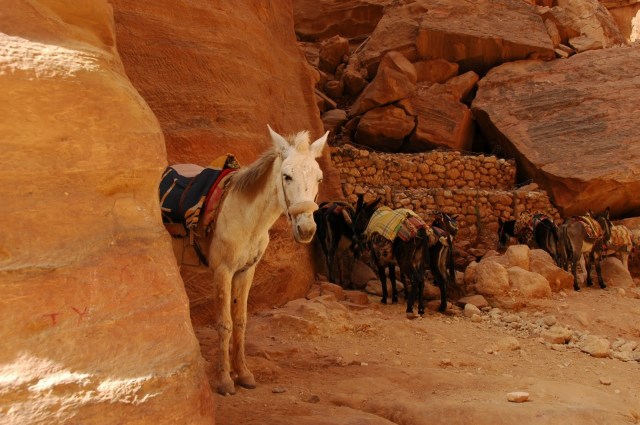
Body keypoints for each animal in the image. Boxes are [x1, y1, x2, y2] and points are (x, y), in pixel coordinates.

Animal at [192, 125, 327, 395]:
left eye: (319, 179)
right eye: (287, 176)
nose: (306, 230)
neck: (247, 218)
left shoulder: (246, 271)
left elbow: (241, 321)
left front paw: (243, 373)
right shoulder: (222, 271)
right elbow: (224, 324)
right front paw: (224, 380)